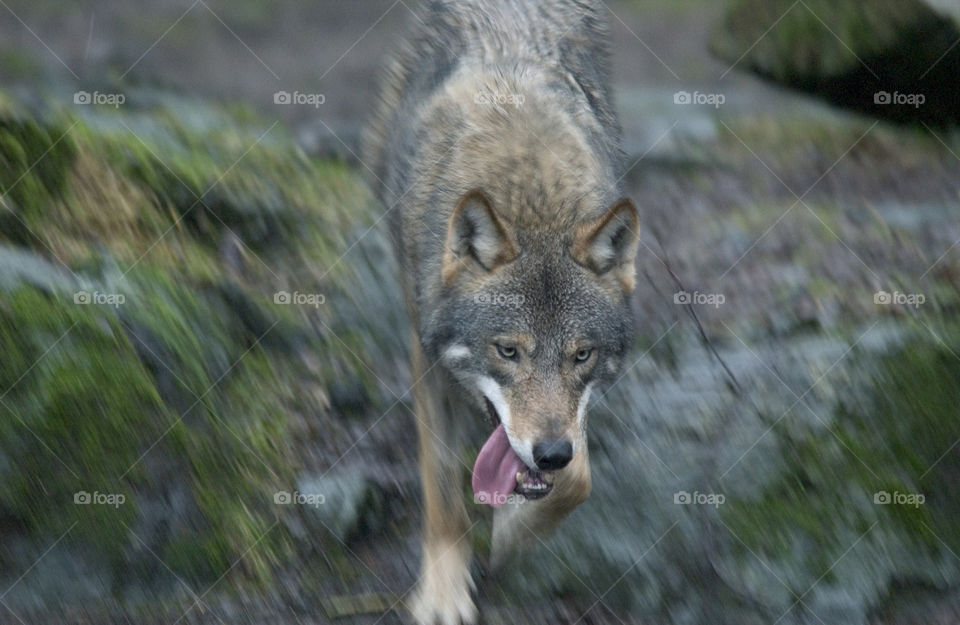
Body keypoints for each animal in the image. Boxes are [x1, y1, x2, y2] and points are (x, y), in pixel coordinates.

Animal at [360, 1, 636, 620]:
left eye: (582, 355)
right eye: (508, 351)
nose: (549, 453)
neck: (530, 194)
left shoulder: (567, 427)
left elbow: (578, 479)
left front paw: (512, 531)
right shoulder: (427, 358)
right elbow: (441, 484)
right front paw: (443, 592)